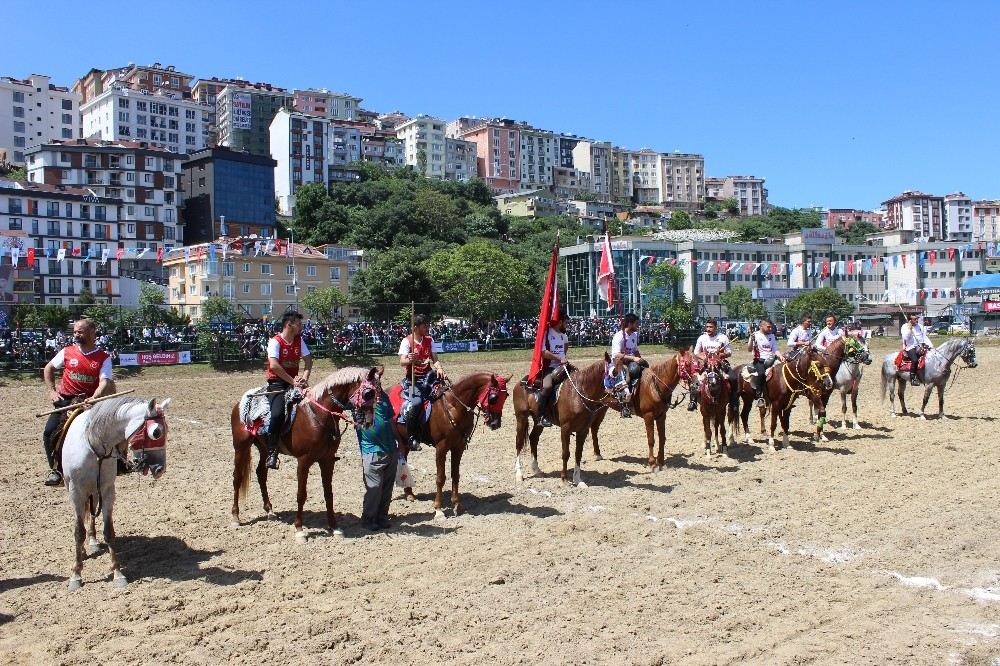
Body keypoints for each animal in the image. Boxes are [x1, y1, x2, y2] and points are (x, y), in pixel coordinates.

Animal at [63, 392, 172, 588]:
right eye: (156, 432)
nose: (160, 469)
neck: (94, 445)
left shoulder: (107, 490)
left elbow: (108, 531)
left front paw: (117, 573)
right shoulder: (76, 492)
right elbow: (78, 532)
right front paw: (76, 575)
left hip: (95, 491)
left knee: (92, 514)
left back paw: (92, 540)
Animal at [230, 364, 382, 540]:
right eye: (368, 393)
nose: (369, 422)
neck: (318, 415)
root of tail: (239, 403)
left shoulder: (327, 460)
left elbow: (328, 493)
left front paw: (334, 527)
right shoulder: (304, 461)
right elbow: (301, 494)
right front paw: (299, 529)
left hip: (264, 448)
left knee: (261, 473)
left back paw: (270, 511)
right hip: (240, 447)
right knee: (237, 478)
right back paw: (235, 517)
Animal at [396, 370, 512, 516]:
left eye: (506, 395)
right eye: (493, 397)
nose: (495, 423)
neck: (454, 407)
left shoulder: (458, 447)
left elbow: (455, 475)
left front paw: (457, 505)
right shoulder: (441, 448)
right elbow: (440, 478)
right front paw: (438, 508)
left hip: (404, 442)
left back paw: (409, 493)